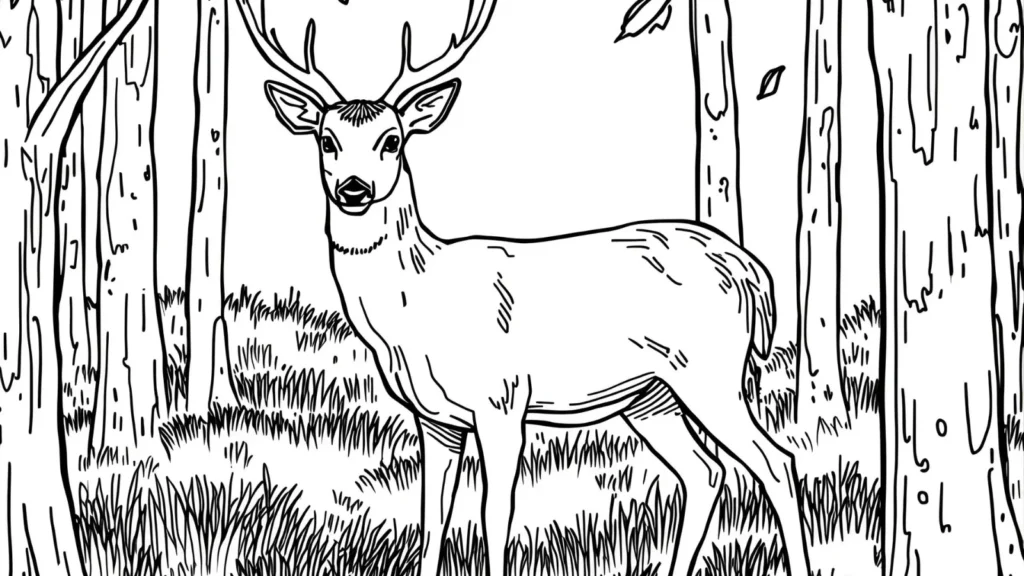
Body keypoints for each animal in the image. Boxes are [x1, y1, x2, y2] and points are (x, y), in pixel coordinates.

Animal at [235, 1, 811, 575]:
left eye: (392, 140)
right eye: (326, 139)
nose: (354, 189)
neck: (413, 309)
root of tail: (751, 270)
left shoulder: (503, 398)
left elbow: (495, 513)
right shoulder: (435, 419)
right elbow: (432, 517)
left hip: (710, 371)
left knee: (774, 460)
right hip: (650, 394)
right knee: (704, 472)